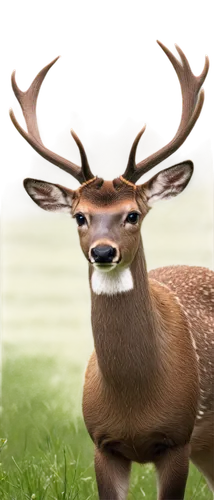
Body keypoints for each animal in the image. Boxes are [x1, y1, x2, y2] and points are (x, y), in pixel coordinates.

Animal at [7, 41, 214, 498]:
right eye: (80, 216)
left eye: (133, 214)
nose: (103, 252)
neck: (134, 402)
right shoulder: (103, 443)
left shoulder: (177, 440)